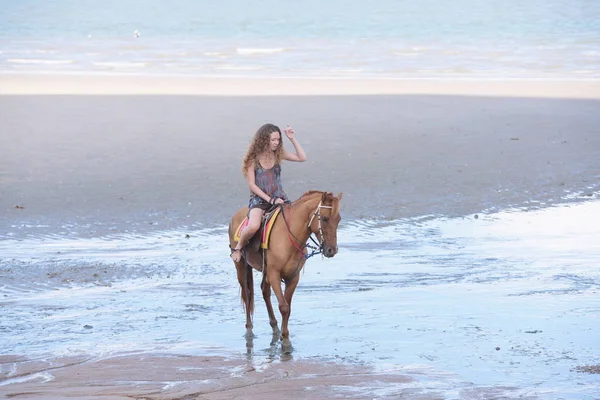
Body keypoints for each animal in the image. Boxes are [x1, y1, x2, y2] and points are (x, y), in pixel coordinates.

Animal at [230, 190, 342, 350]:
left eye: (338, 219)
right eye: (325, 219)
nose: (332, 250)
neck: (289, 237)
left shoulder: (293, 277)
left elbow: (288, 308)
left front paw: (284, 337)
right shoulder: (274, 275)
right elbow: (283, 306)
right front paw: (286, 342)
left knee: (264, 292)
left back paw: (275, 327)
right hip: (241, 267)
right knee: (247, 295)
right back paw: (249, 330)